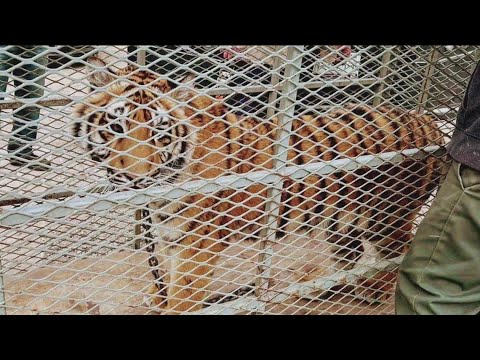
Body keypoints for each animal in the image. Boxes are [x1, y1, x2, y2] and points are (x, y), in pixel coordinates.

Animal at [74, 57, 446, 316]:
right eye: (116, 126)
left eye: (160, 133)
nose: (136, 179)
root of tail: (427, 119)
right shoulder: (170, 233)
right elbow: (160, 268)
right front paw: (157, 297)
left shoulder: (198, 243)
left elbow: (185, 293)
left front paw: (171, 303)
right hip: (340, 215)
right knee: (349, 253)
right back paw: (320, 287)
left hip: (386, 216)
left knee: (399, 249)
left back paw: (375, 290)